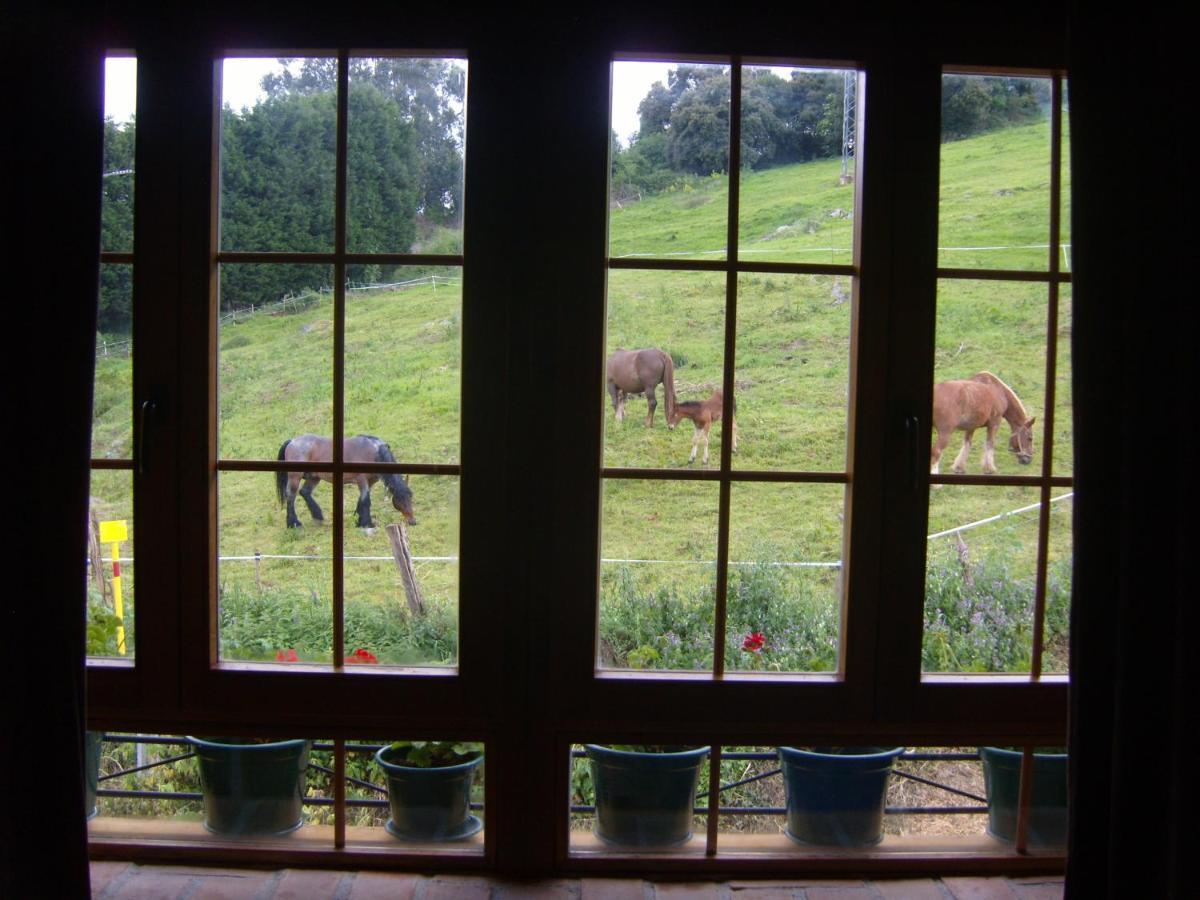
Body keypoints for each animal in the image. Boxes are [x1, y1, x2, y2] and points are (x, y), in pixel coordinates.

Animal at [276, 434, 417, 528]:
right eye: (399, 499)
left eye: (410, 497)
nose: (413, 521)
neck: (375, 452)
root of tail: (292, 441)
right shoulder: (362, 480)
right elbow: (366, 500)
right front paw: (366, 523)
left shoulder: (369, 482)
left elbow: (362, 500)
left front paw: (359, 519)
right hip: (295, 477)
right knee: (291, 497)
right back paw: (294, 523)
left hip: (314, 477)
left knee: (305, 492)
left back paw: (318, 516)